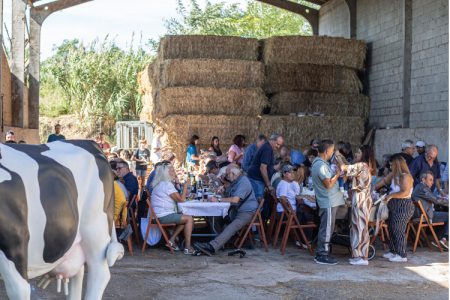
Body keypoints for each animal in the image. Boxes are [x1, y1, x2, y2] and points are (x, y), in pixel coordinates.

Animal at [0, 141, 124, 300]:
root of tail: (88, 142)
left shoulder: (15, 246)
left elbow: (19, 290)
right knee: (78, 274)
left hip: (96, 230)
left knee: (99, 274)